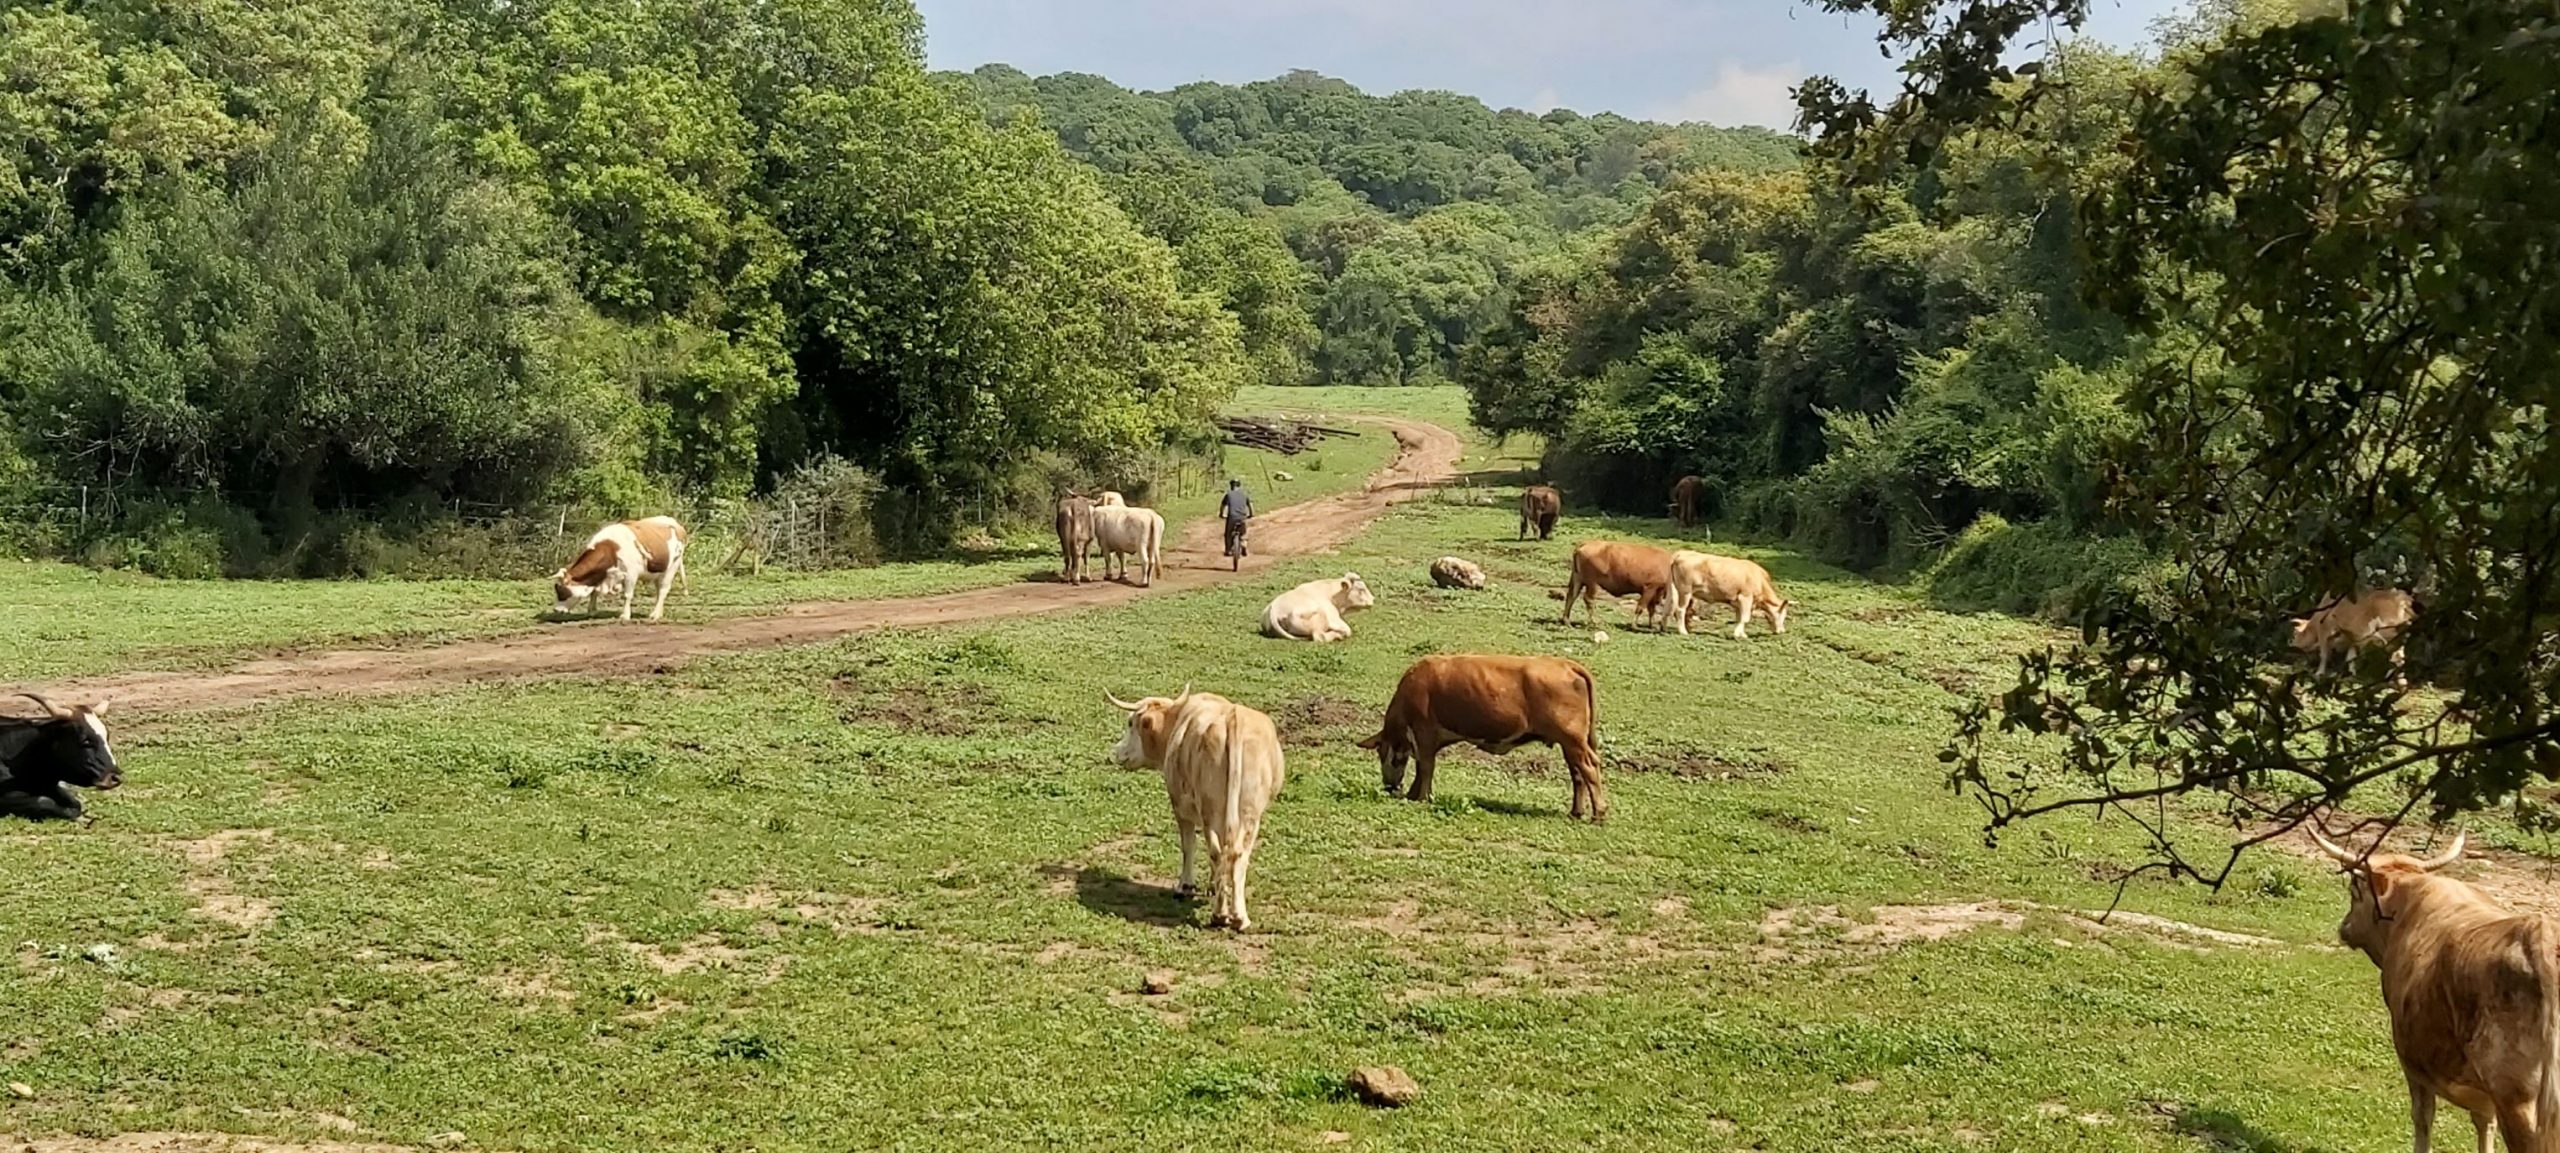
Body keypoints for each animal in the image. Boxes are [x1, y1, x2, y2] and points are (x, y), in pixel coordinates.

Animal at [552, 515, 691, 622]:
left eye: (561, 591)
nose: (556, 610)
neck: (611, 549)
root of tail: (677, 525)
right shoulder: (603, 576)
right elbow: (594, 592)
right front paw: (591, 610)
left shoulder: (631, 574)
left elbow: (627, 595)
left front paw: (625, 615)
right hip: (659, 572)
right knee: (659, 591)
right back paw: (659, 613)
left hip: (671, 568)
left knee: (663, 590)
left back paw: (655, 615)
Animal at [1111, 686, 1290, 932]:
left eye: (1131, 723)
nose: (1116, 751)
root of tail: (1233, 719)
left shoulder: (1180, 807)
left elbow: (1189, 846)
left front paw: (1185, 886)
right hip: (1248, 814)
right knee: (1235, 854)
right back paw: (1237, 917)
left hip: (1211, 811)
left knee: (1217, 851)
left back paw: (1220, 915)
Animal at [1351, 655, 1607, 819]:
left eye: (1383, 753)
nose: (1388, 787)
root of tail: (1565, 664)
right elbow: (1423, 767)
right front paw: (1414, 794)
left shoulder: (1424, 731)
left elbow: (1425, 766)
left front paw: (1422, 797)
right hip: (1571, 743)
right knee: (1577, 773)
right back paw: (1576, 812)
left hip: (1572, 739)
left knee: (1588, 768)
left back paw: (1599, 814)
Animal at [2304, 830, 2560, 1153]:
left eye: (2354, 889)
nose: (2344, 926)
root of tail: (2538, 932)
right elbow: (2483, 1121)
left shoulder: (2411, 1058)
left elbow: (2422, 1115)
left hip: (2516, 1099)